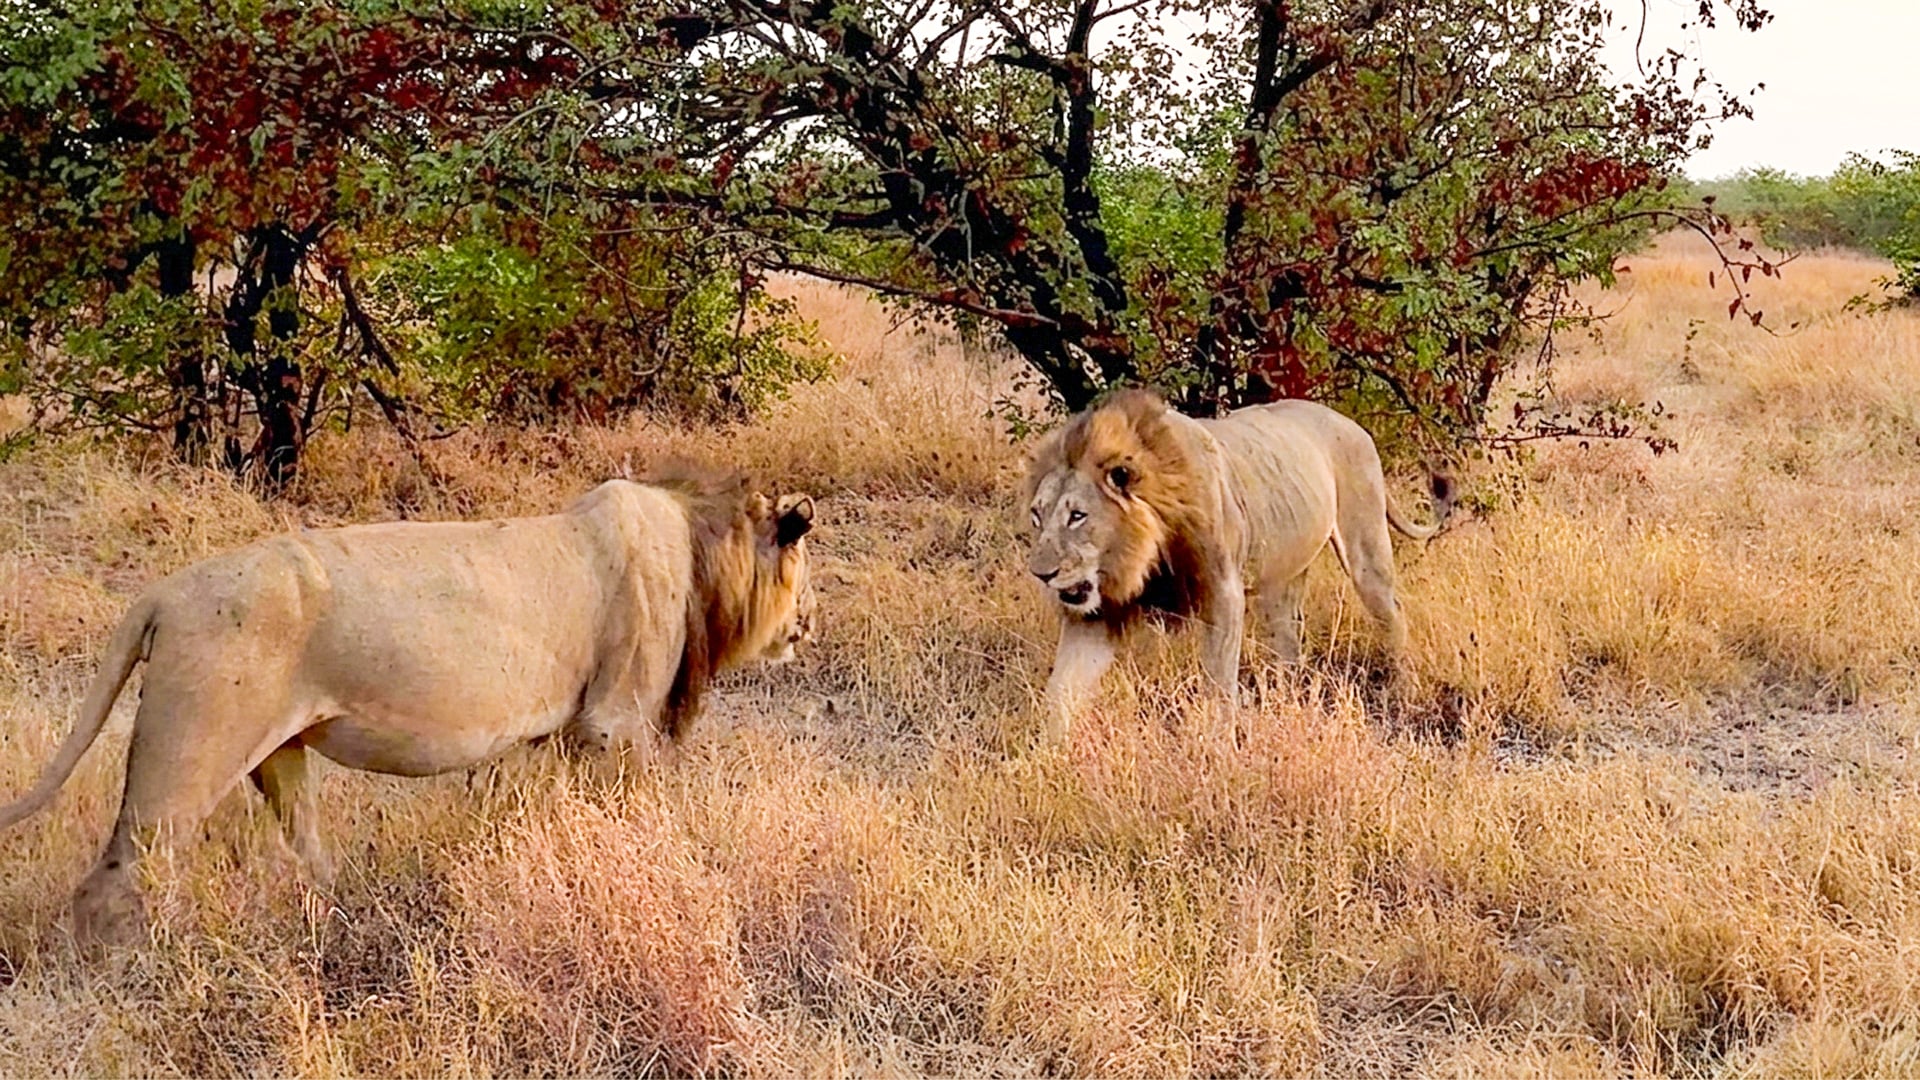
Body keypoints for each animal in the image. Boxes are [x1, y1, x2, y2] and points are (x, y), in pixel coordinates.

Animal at [0, 469, 816, 945]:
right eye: (806, 568)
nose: (806, 627)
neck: (704, 546)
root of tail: (161, 595)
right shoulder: (616, 723)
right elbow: (637, 812)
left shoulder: (553, 736)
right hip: (191, 754)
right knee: (117, 875)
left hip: (278, 754)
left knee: (306, 848)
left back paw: (340, 919)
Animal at [1024, 390, 1451, 735]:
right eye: (1036, 516)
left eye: (1077, 516)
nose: (1041, 574)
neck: (1141, 555)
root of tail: (1350, 422)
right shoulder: (1095, 613)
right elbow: (1060, 691)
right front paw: (1047, 760)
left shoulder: (1223, 594)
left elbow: (1218, 687)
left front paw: (1219, 749)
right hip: (1283, 575)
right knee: (1289, 642)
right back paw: (1286, 704)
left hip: (1366, 550)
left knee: (1393, 615)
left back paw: (1403, 693)